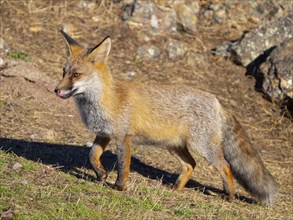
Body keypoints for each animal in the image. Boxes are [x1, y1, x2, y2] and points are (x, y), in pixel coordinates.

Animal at [53, 30, 278, 205]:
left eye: (76, 75)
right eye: (63, 72)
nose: (56, 90)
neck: (104, 100)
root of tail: (217, 102)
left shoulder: (123, 137)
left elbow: (123, 166)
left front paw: (119, 187)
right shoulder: (104, 134)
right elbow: (92, 155)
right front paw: (101, 174)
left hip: (202, 147)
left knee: (226, 166)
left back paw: (229, 196)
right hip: (174, 146)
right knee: (191, 165)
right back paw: (176, 188)